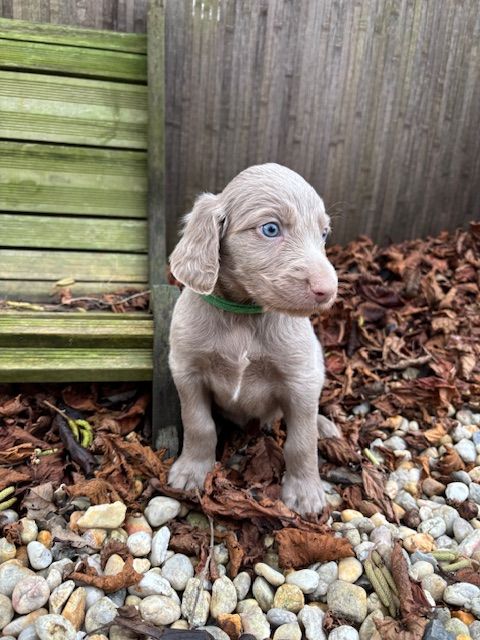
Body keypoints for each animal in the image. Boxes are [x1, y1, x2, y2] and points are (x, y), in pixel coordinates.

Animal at [167, 161, 340, 516]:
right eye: (271, 229)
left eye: (324, 233)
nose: (328, 290)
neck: (243, 316)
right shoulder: (186, 370)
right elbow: (198, 423)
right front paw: (192, 471)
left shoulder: (301, 379)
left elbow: (302, 441)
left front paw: (305, 492)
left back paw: (325, 427)